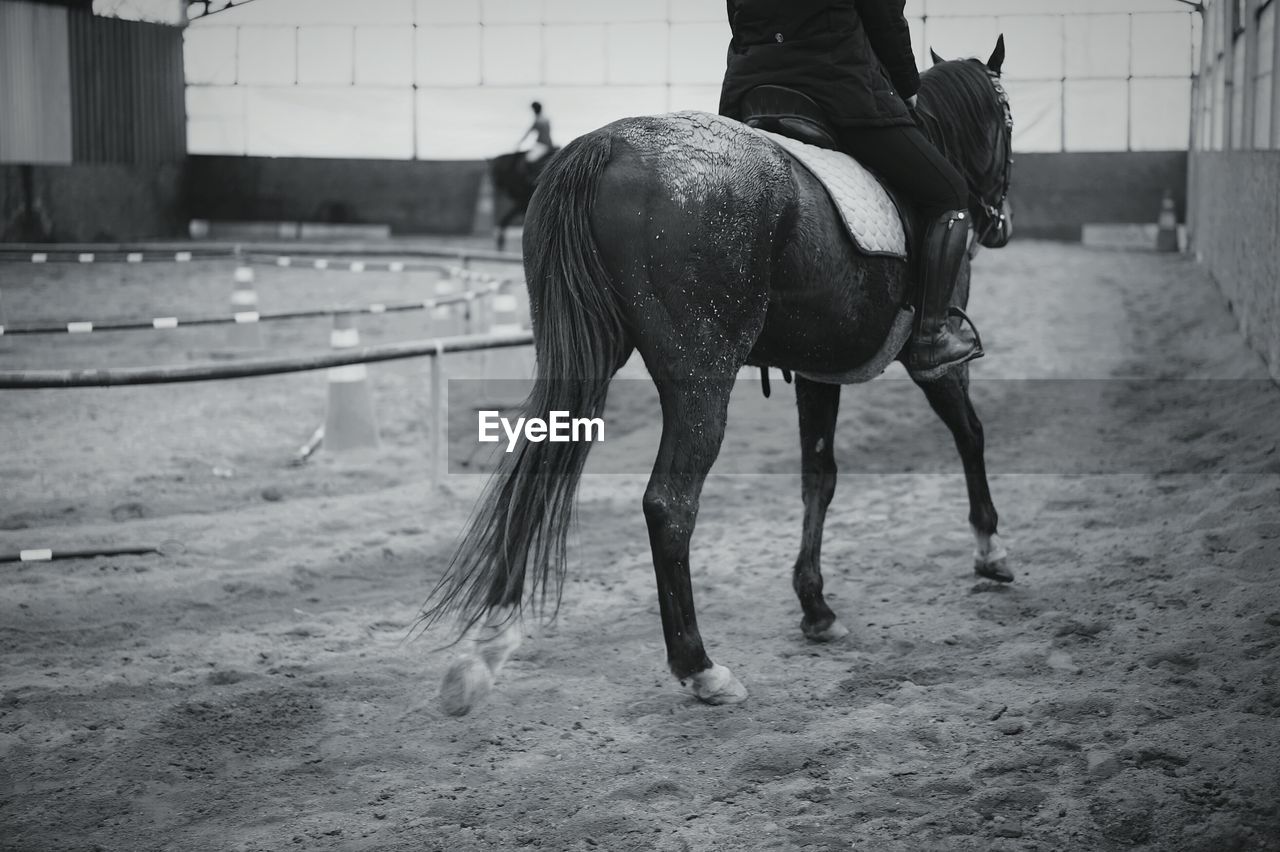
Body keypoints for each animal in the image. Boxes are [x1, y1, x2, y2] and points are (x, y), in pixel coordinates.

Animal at [424, 43, 1013, 711]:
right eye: (1007, 121)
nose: (999, 222)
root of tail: (606, 144)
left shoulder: (819, 369)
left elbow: (819, 476)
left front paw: (816, 606)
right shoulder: (932, 363)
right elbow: (970, 434)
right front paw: (990, 550)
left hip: (580, 355)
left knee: (536, 470)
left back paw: (487, 646)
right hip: (702, 376)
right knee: (669, 504)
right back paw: (699, 666)